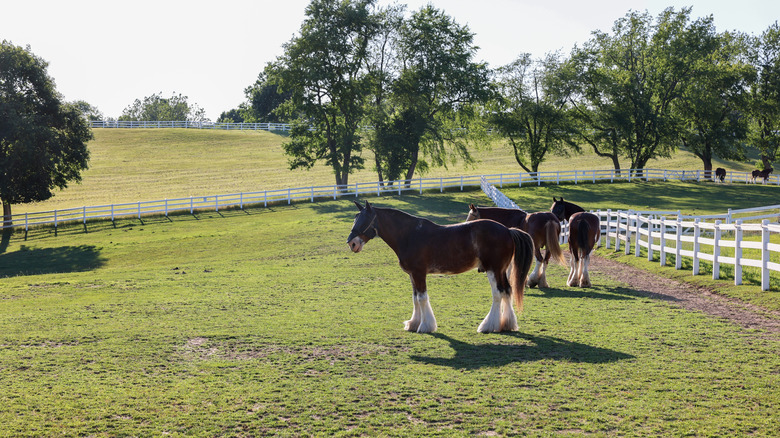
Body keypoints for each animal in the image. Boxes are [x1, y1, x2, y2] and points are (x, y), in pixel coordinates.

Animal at [347, 201, 534, 334]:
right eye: (355, 218)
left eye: (364, 220)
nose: (352, 243)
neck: (410, 235)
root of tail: (508, 230)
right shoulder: (412, 275)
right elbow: (415, 298)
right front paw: (413, 323)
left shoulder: (419, 273)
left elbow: (422, 298)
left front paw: (425, 326)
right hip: (501, 271)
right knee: (507, 291)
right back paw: (507, 324)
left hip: (493, 270)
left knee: (498, 294)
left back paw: (488, 326)